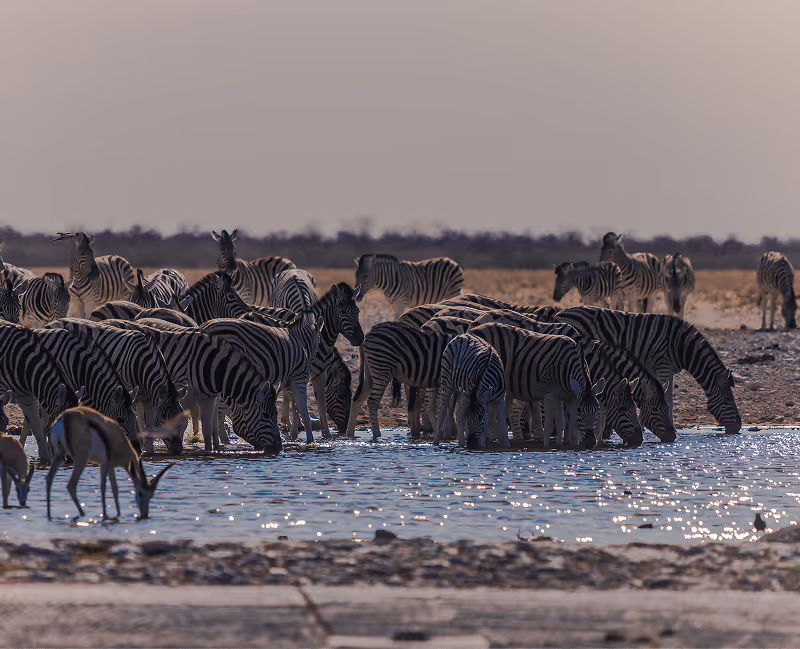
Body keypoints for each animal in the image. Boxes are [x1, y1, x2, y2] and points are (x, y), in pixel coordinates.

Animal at [45, 319, 186, 451]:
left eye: (182, 417)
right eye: (164, 416)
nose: (177, 449)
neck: (142, 362)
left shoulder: (149, 399)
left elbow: (148, 427)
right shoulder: (130, 393)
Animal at [467, 323, 605, 449]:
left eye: (597, 409)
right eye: (580, 410)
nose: (591, 442)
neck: (568, 365)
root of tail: (475, 328)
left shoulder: (569, 398)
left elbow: (565, 425)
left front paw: (568, 445)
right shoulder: (550, 394)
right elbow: (549, 424)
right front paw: (547, 447)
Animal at [555, 306, 741, 434]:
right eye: (727, 400)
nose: (738, 427)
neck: (682, 347)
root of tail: (561, 312)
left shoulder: (665, 369)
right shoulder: (663, 365)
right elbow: (667, 397)